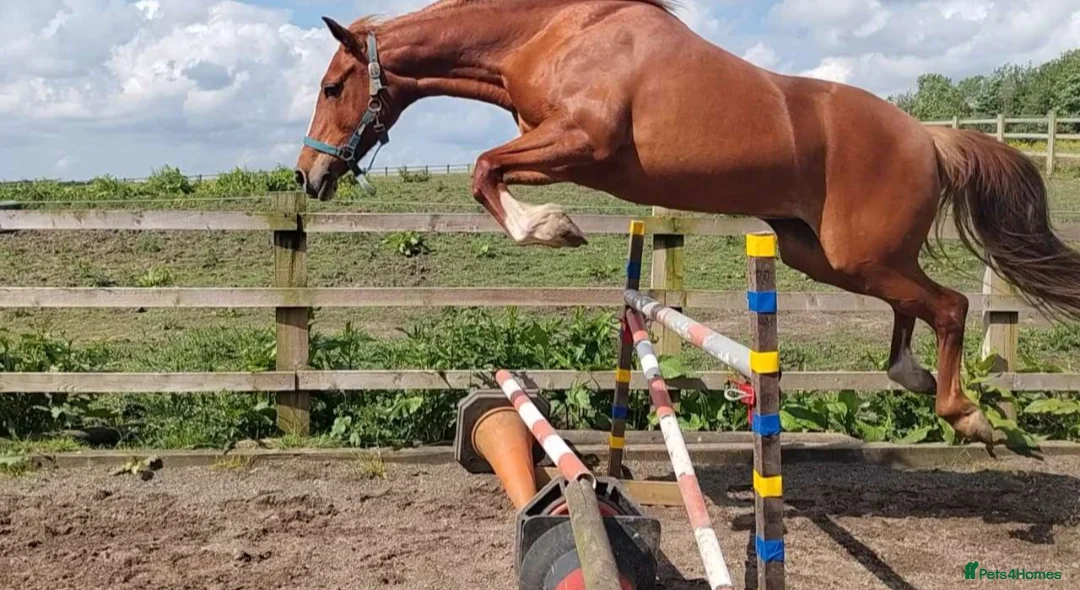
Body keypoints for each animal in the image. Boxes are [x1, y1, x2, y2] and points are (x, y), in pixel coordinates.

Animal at [294, 0, 1080, 448]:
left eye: (333, 87)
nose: (309, 176)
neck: (552, 34)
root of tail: (929, 137)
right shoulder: (558, 147)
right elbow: (488, 170)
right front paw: (551, 224)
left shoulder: (579, 142)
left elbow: (485, 169)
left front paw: (553, 227)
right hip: (826, 256)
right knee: (913, 306)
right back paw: (911, 376)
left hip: (860, 255)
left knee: (949, 305)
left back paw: (967, 415)